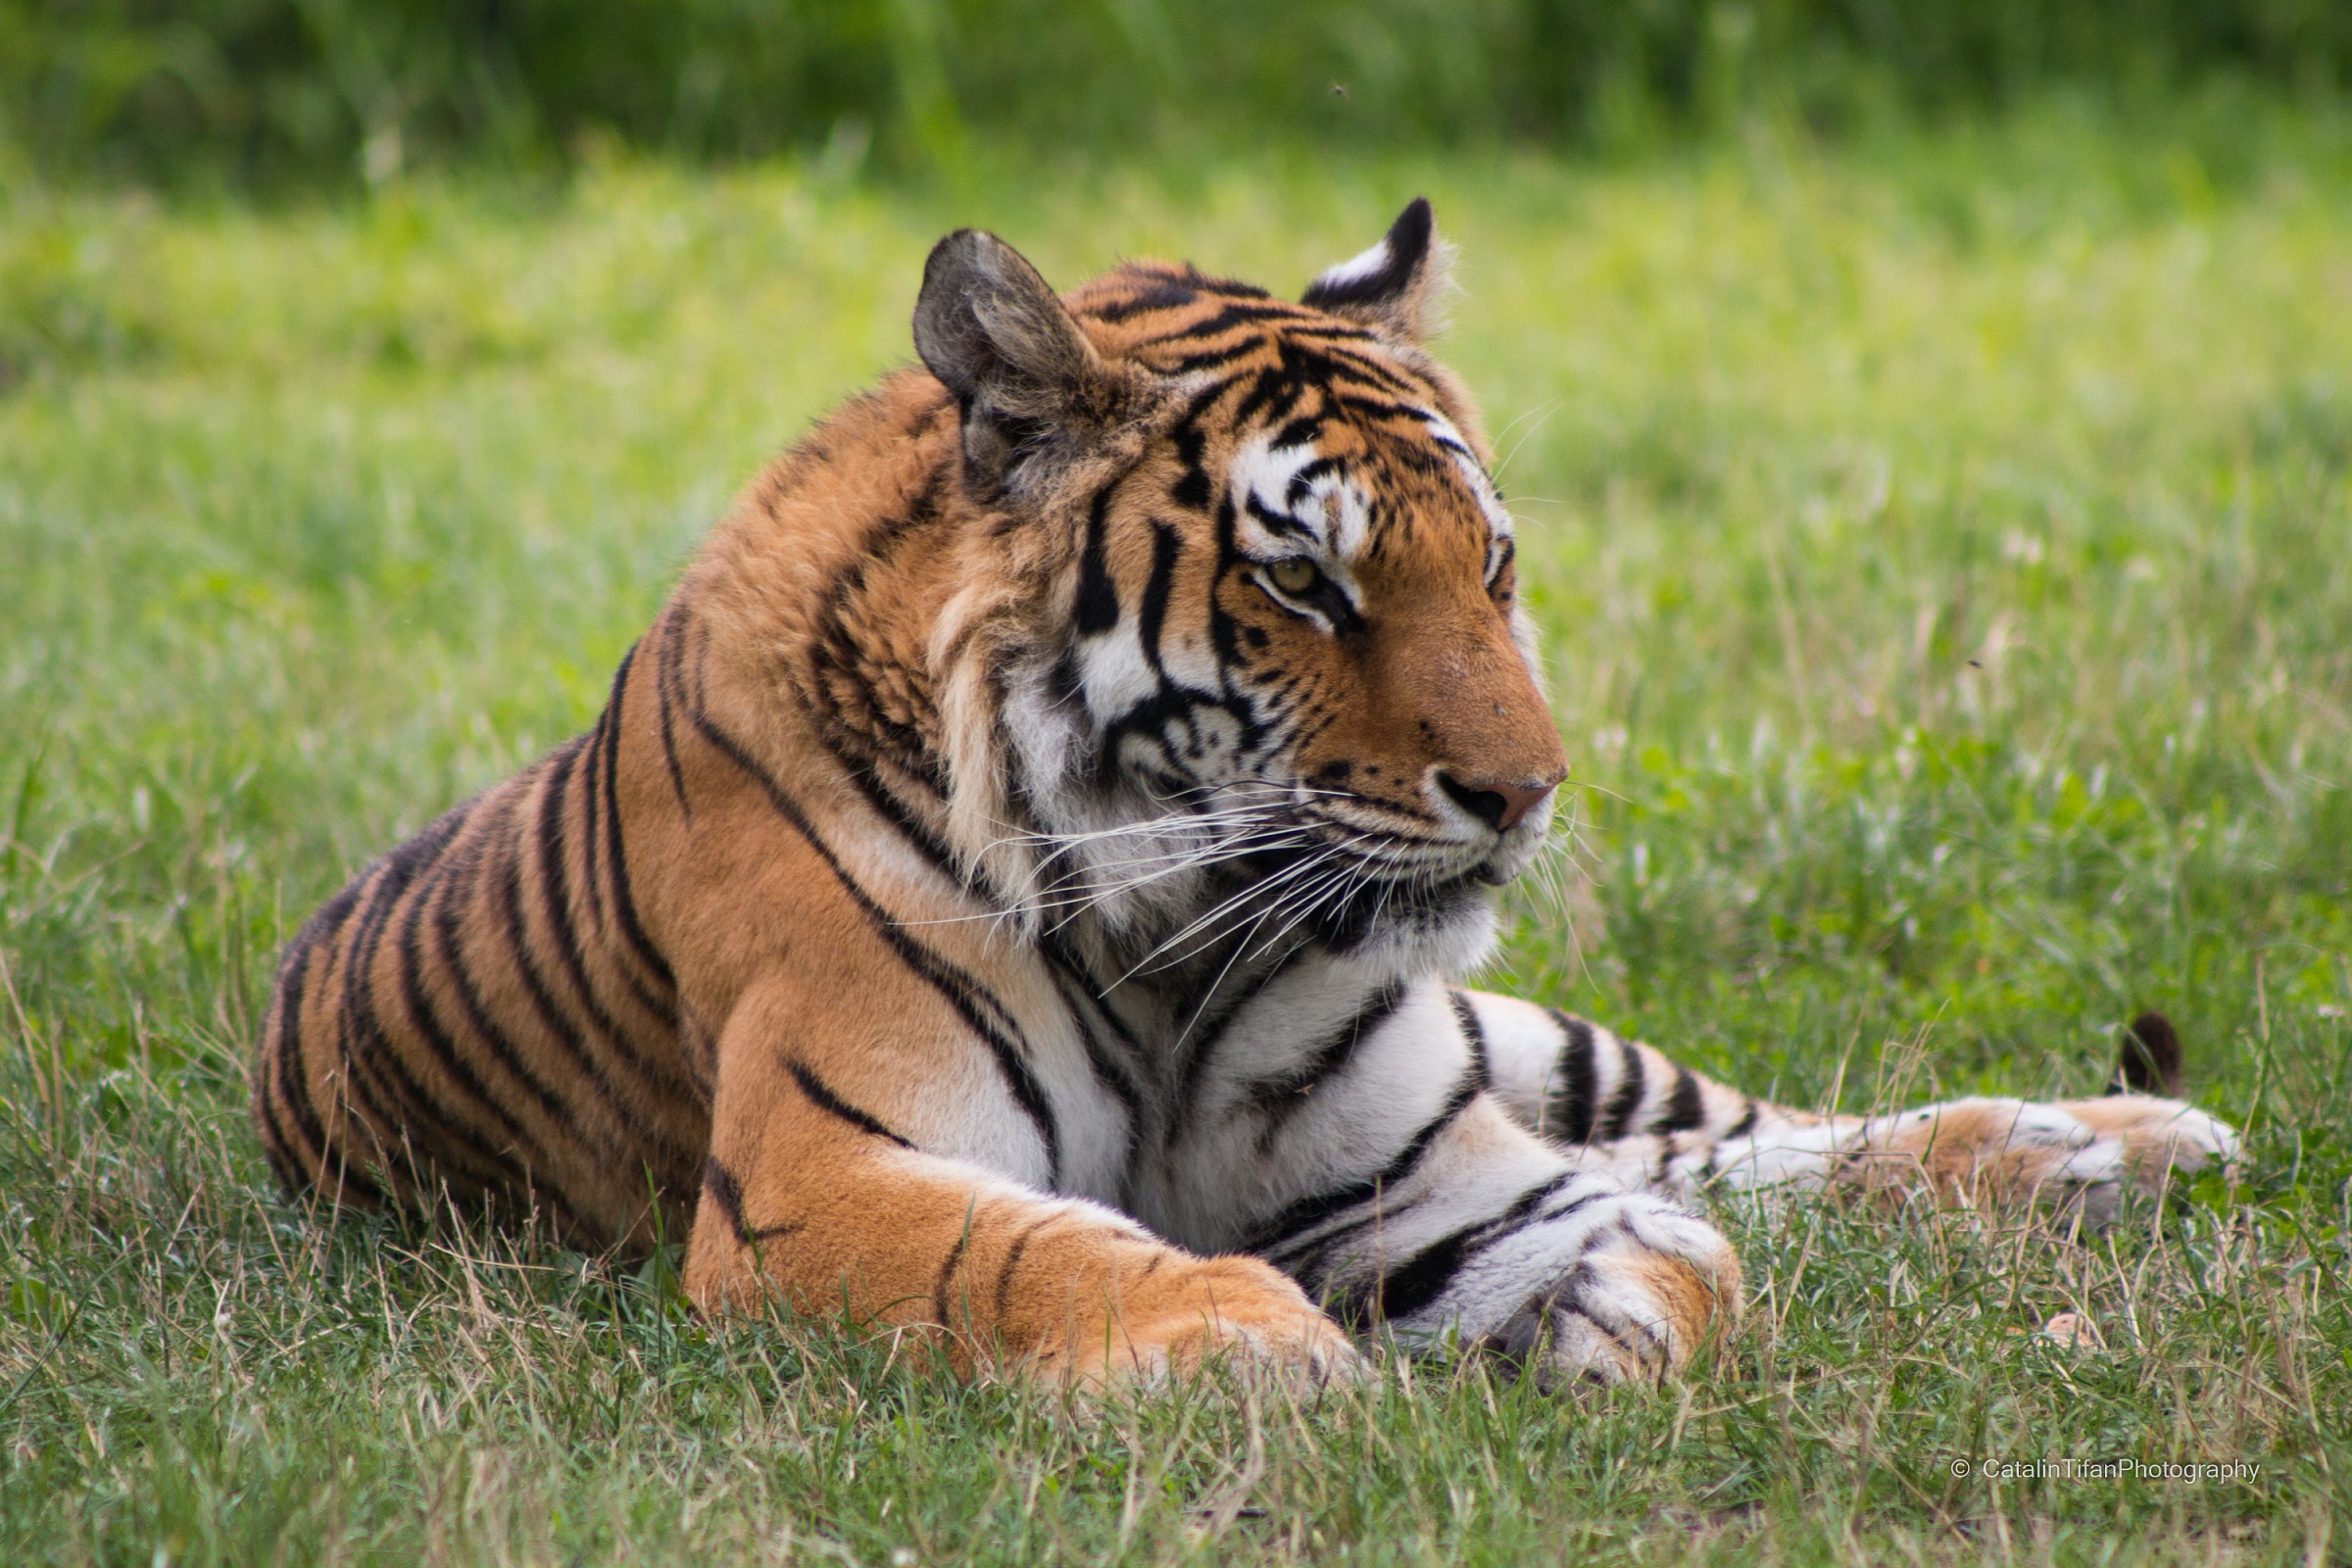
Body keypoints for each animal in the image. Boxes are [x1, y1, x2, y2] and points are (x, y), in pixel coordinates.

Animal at [254, 199, 2237, 1388]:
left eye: (1490, 565)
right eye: (1307, 584)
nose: (1525, 791)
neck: (1177, 930)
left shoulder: (1420, 1162)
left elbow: (1675, 1245)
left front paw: (1611, 1319)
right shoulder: (822, 1175)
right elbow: (1043, 1262)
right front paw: (1265, 1353)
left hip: (1515, 1040)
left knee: (1719, 1130)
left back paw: (2107, 1143)